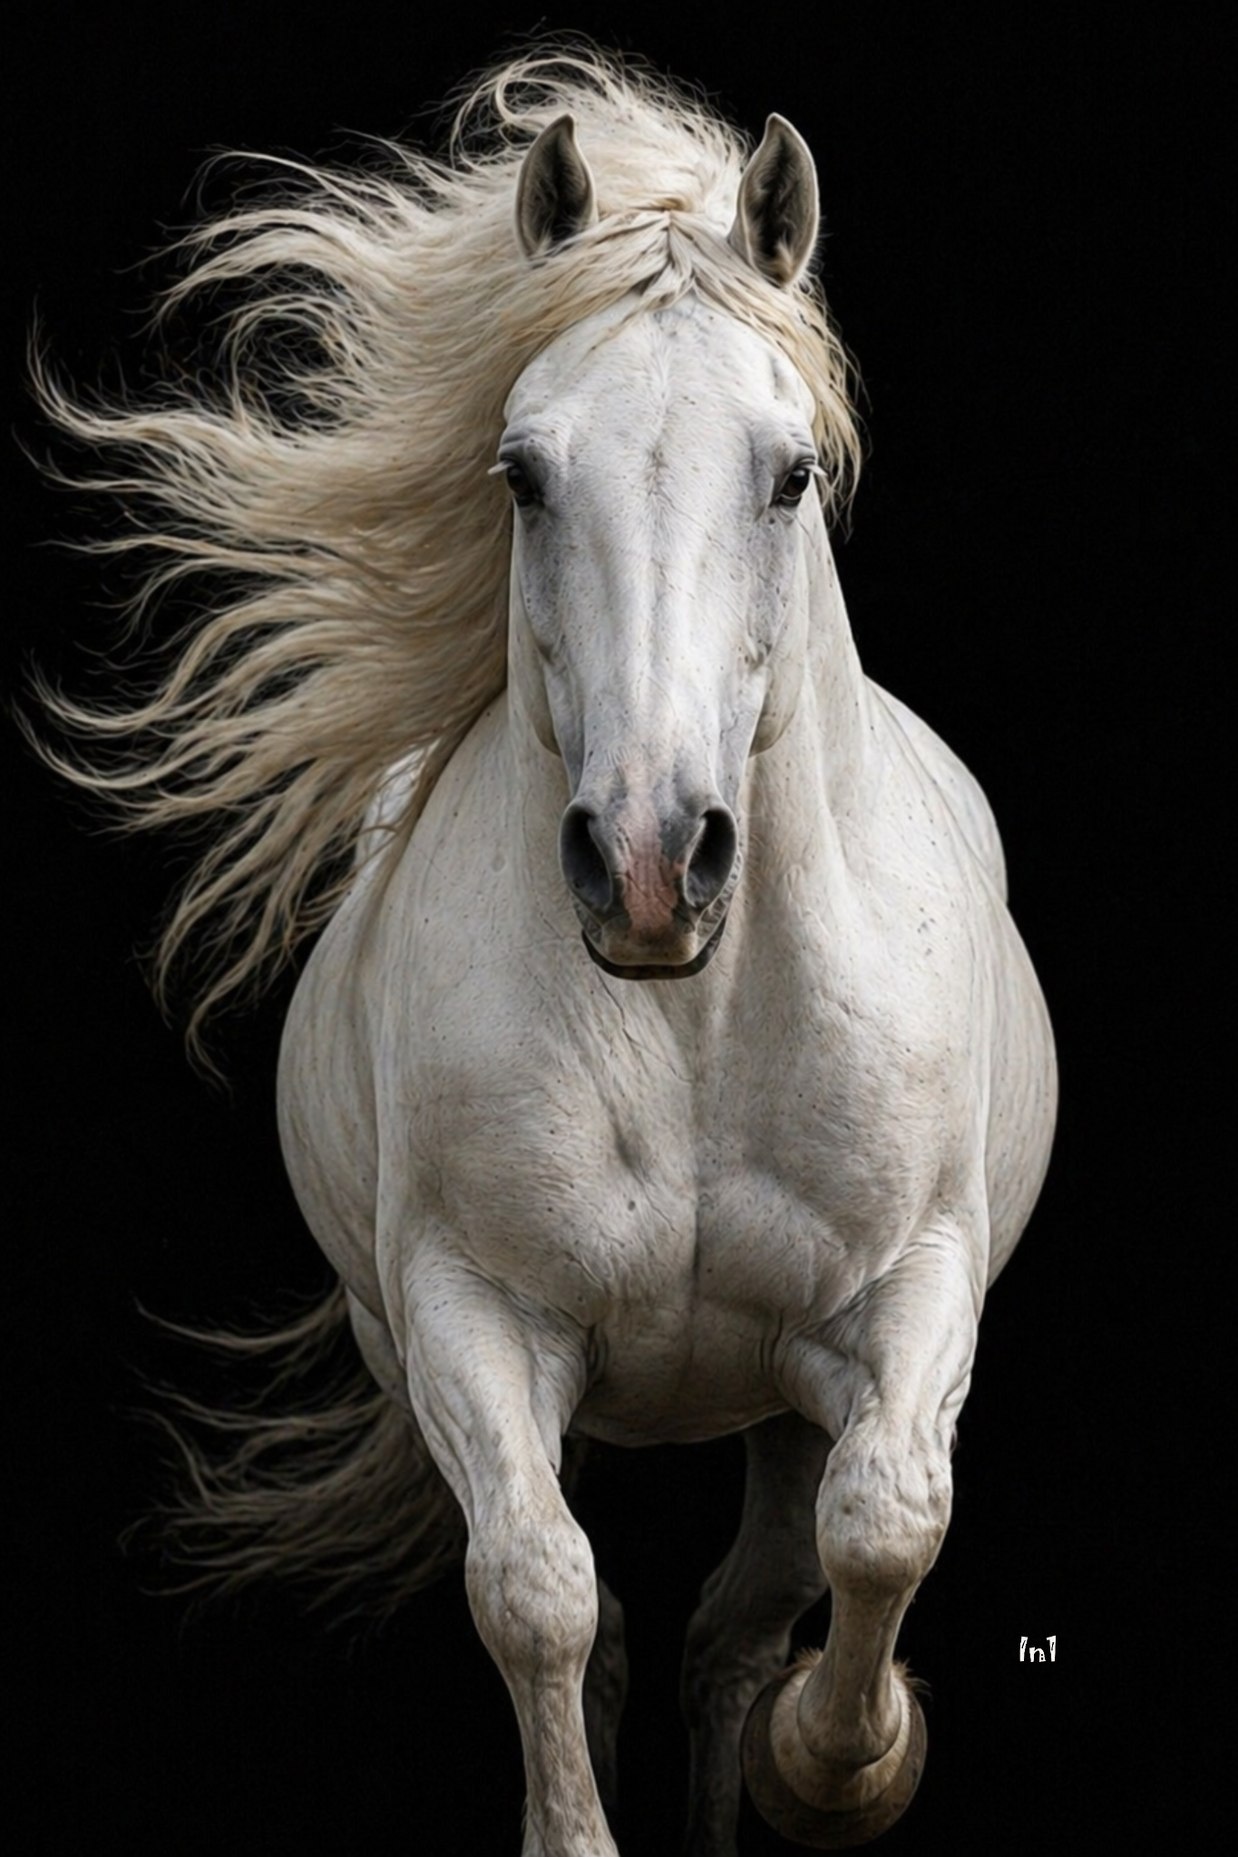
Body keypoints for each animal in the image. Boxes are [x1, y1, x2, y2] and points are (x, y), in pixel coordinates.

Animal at [34, 51, 1056, 1856]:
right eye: (521, 474)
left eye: (788, 474)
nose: (649, 865)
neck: (693, 1026)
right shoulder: (471, 1318)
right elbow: (538, 1597)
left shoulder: (907, 1289)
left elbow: (884, 1518)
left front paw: (840, 1766)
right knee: (639, 1626)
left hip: (776, 1399)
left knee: (743, 1619)